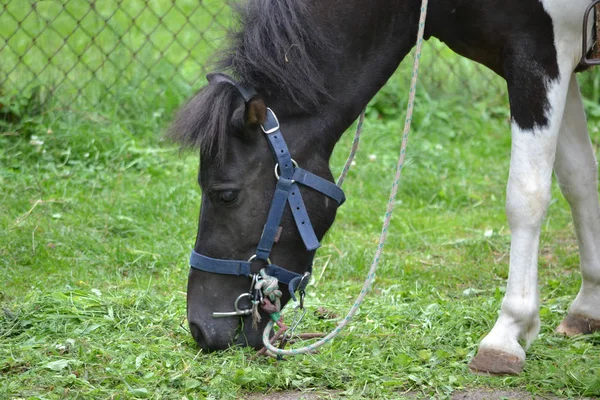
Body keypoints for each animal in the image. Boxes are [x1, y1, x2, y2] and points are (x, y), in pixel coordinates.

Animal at [168, 0, 600, 376]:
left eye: (225, 194)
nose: (199, 328)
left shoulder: (539, 56)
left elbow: (526, 196)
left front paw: (507, 333)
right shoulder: (558, 64)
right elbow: (579, 180)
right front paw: (589, 306)